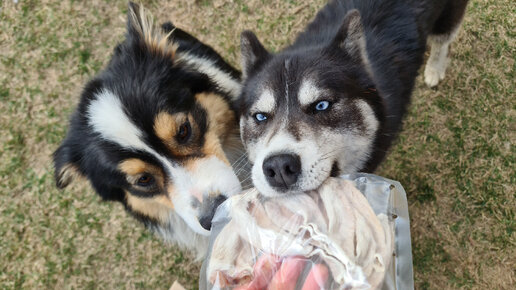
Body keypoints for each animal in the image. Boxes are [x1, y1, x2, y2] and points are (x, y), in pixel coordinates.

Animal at [240, 0, 470, 197]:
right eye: (260, 116)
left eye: (321, 105)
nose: (279, 167)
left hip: (447, 18)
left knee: (443, 41)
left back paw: (434, 69)